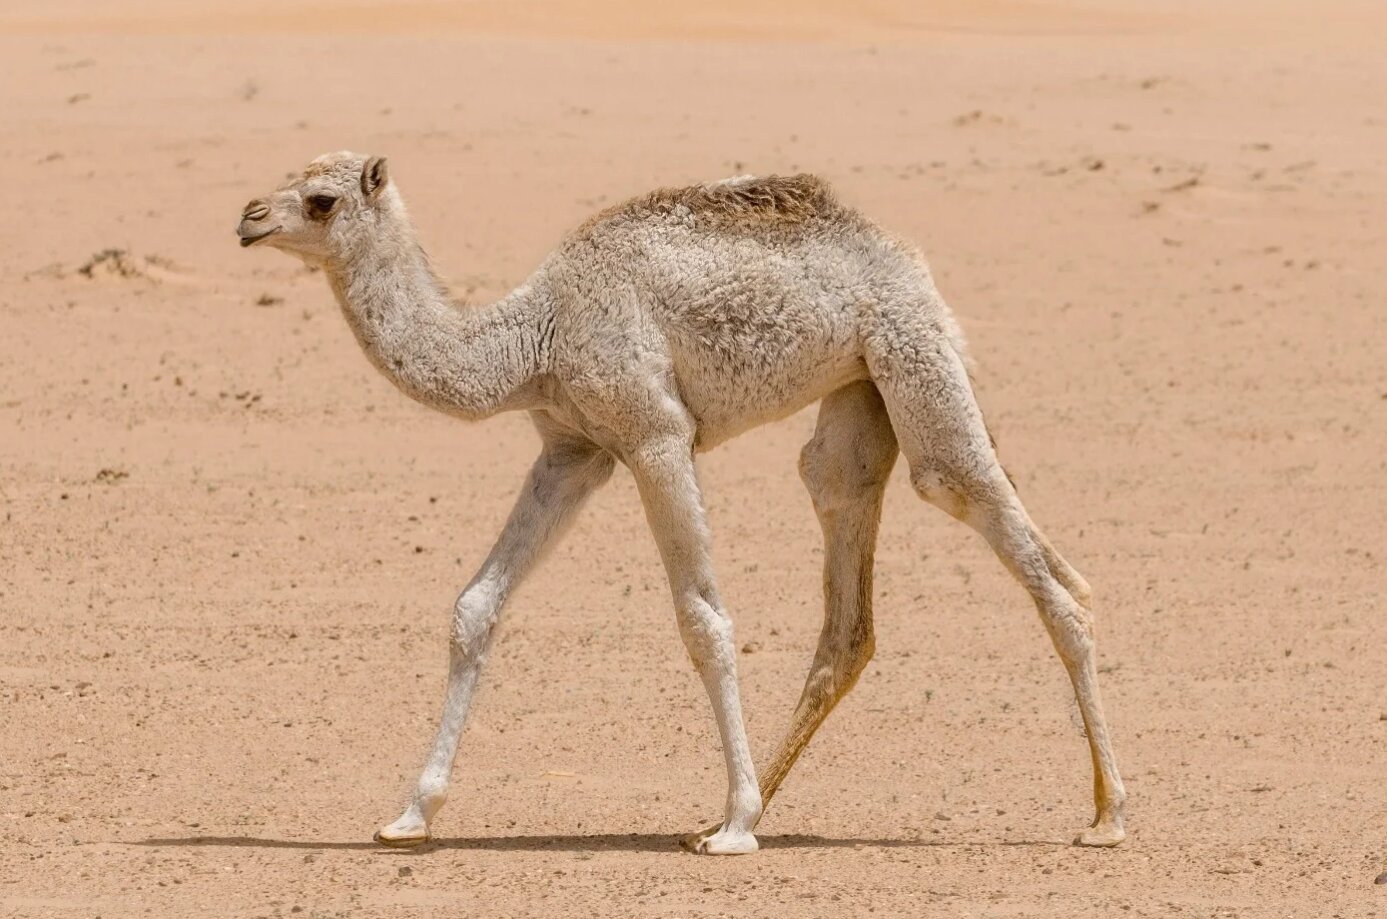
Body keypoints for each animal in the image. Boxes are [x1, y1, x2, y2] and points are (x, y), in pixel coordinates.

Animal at [236, 151, 1127, 855]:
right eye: (289, 177)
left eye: (322, 199)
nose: (248, 216)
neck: (533, 336)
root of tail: (903, 255)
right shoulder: (573, 449)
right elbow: (476, 604)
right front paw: (409, 816)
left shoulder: (654, 434)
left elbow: (703, 619)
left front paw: (735, 827)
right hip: (857, 393)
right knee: (843, 563)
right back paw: (738, 807)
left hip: (913, 352)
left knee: (1004, 529)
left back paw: (1106, 814)